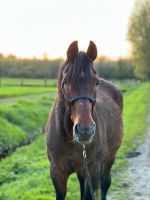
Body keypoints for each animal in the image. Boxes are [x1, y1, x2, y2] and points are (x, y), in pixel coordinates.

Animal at [46, 41, 123, 200]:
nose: (85, 131)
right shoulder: (57, 172)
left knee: (105, 183)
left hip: (110, 158)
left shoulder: (93, 170)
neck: (68, 138)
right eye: (66, 82)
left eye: (96, 83)